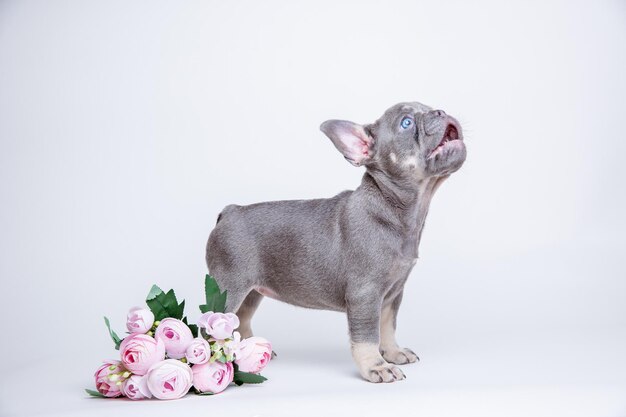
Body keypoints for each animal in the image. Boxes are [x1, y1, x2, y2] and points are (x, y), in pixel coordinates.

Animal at [205, 101, 464, 380]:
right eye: (406, 123)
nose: (440, 111)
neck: (394, 207)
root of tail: (230, 212)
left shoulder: (392, 295)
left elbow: (387, 326)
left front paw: (393, 352)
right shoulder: (365, 295)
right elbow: (367, 336)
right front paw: (376, 366)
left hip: (251, 292)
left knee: (241, 319)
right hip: (229, 289)